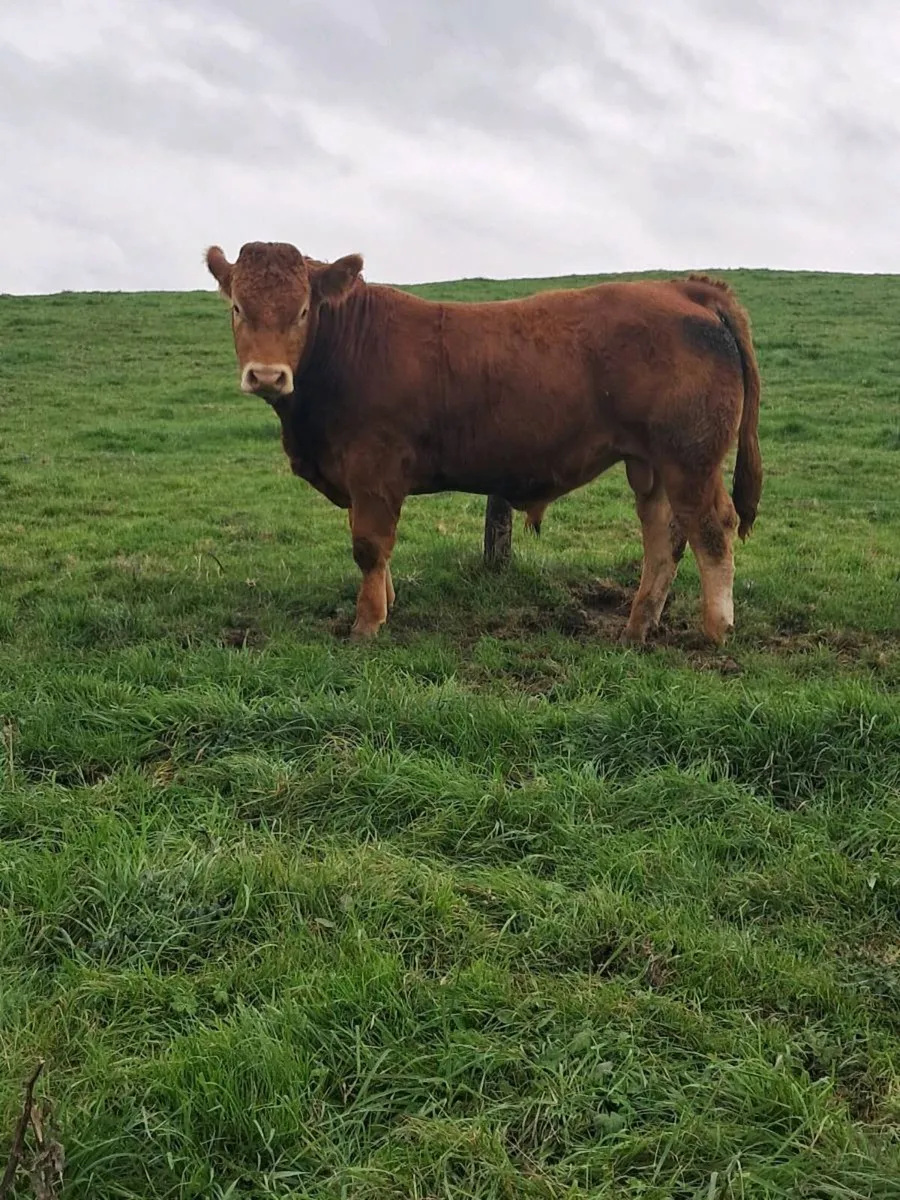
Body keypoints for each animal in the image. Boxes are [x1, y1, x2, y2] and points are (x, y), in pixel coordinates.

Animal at [204, 241, 762, 645]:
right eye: (237, 307)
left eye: (302, 311)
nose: (267, 375)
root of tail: (682, 288)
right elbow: (379, 553)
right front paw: (385, 604)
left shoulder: (372, 471)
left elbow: (368, 546)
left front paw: (366, 625)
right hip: (651, 465)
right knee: (663, 538)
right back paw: (636, 628)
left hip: (690, 459)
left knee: (712, 529)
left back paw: (716, 632)